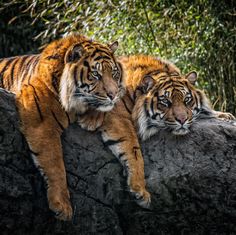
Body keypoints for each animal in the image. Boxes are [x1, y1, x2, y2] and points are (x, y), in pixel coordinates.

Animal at [0, 34, 125, 221]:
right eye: (96, 74)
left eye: (115, 73)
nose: (114, 94)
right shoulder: (42, 121)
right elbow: (55, 163)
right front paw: (62, 206)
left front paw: (91, 119)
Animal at [79, 54, 234, 209]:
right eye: (165, 102)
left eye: (187, 100)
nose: (182, 120)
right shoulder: (117, 117)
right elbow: (133, 151)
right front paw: (139, 190)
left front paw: (225, 116)